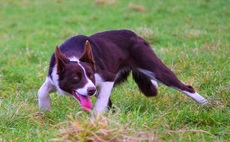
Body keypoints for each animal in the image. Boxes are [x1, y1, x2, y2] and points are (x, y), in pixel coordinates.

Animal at [37, 29, 208, 112]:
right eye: (75, 78)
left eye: (91, 76)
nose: (91, 90)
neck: (73, 55)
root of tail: (135, 35)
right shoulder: (53, 77)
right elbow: (41, 91)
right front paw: (45, 109)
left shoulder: (107, 78)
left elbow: (100, 105)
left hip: (153, 66)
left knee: (186, 87)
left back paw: (207, 104)